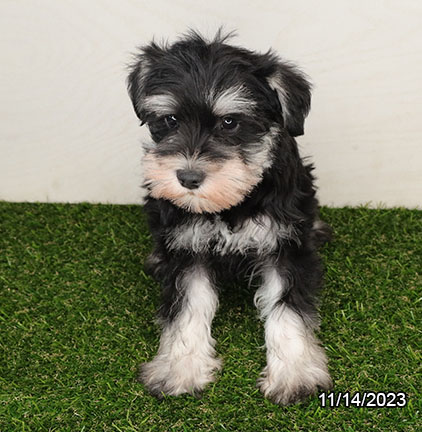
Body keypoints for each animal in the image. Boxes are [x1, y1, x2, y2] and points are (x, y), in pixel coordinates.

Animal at [127, 30, 332, 404]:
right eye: (170, 120)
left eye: (230, 122)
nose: (188, 178)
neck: (232, 206)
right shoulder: (187, 247)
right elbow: (188, 307)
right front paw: (179, 368)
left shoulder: (284, 245)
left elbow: (288, 309)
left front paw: (294, 374)